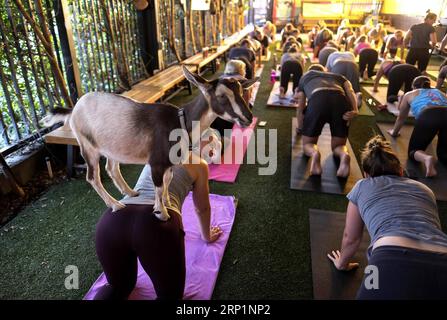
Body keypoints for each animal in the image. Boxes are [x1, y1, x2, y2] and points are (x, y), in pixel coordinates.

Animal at [43, 65, 258, 220]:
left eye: (241, 91)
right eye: (221, 96)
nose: (248, 118)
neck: (180, 122)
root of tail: (73, 110)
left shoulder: (169, 164)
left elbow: (167, 181)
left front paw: (166, 203)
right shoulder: (156, 162)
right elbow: (159, 185)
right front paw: (161, 213)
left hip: (112, 146)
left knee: (111, 168)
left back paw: (130, 192)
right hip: (88, 146)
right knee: (92, 176)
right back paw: (115, 204)